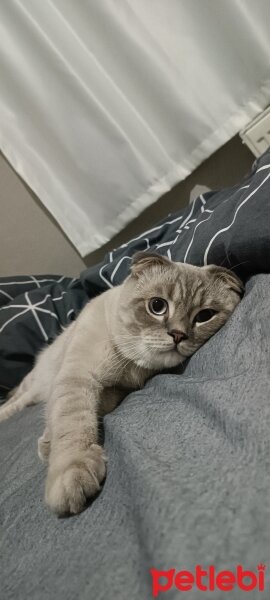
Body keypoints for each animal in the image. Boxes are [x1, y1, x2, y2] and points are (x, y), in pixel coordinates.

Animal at [0, 253, 243, 516]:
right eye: (157, 306)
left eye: (204, 316)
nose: (179, 335)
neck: (131, 365)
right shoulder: (78, 377)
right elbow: (74, 425)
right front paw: (71, 477)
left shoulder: (117, 390)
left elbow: (93, 411)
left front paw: (47, 443)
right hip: (33, 389)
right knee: (15, 402)